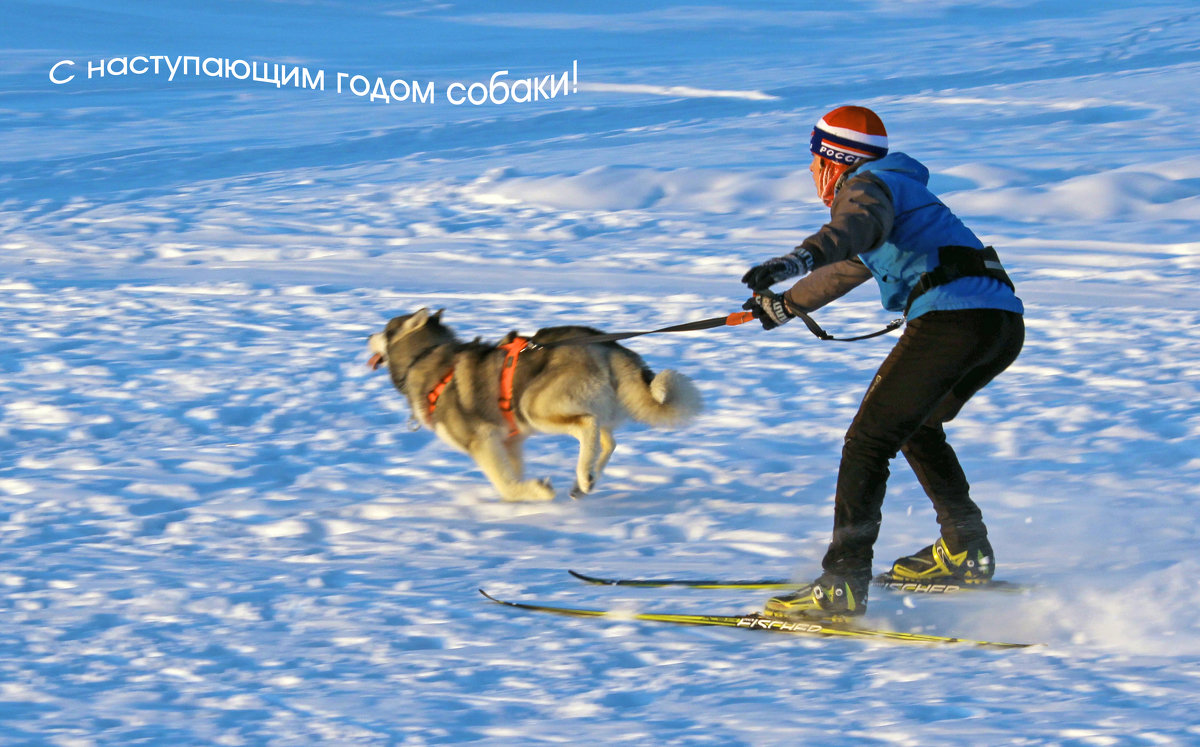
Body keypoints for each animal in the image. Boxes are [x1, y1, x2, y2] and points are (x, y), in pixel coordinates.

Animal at [364, 309, 700, 504]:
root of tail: (605, 344)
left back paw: (582, 475)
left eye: (385, 330)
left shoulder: (482, 440)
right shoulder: (509, 442)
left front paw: (537, 491)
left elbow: (503, 482)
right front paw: (525, 494)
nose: (367, 335)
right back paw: (584, 483)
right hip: (592, 405)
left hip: (534, 406)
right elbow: (511, 477)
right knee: (607, 439)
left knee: (587, 425)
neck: (425, 357)